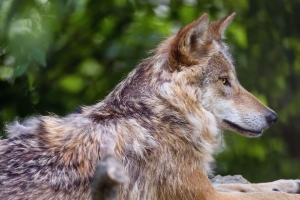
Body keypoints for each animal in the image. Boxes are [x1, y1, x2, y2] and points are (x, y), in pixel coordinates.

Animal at [0, 12, 300, 200]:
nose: (273, 117)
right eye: (225, 81)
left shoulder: (204, 183)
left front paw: (287, 183)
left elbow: (255, 187)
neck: (160, 116)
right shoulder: (203, 194)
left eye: (233, 79)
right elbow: (262, 195)